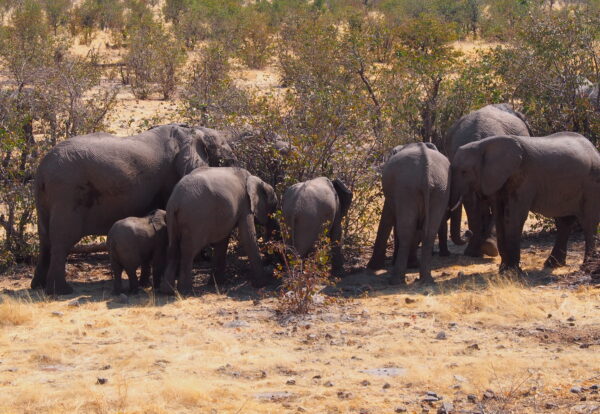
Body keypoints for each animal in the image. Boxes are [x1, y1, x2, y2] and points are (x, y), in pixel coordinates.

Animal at [31, 122, 236, 294]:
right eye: (223, 155)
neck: (193, 129)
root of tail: (42, 171)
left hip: (44, 200)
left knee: (45, 239)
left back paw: (38, 286)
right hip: (67, 194)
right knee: (62, 240)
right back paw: (61, 291)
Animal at [161, 166, 280, 294]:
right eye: (274, 207)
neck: (255, 179)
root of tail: (175, 201)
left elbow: (222, 241)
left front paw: (216, 283)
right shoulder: (245, 204)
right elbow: (247, 237)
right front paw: (262, 284)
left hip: (171, 218)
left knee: (172, 248)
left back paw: (167, 291)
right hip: (195, 219)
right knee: (188, 250)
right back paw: (185, 291)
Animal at [366, 142, 450, 284]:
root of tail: (426, 171)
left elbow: (387, 219)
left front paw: (372, 267)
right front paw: (412, 265)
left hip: (407, 188)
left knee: (406, 231)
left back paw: (395, 280)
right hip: (440, 189)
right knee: (429, 231)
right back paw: (426, 280)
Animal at [450, 133, 600, 274]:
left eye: (464, 171)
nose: (468, 232)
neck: (484, 145)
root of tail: (594, 149)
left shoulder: (524, 179)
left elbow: (514, 217)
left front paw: (512, 272)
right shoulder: (498, 180)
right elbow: (500, 218)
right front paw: (503, 270)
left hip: (592, 182)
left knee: (588, 222)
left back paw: (586, 267)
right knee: (564, 222)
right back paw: (552, 264)